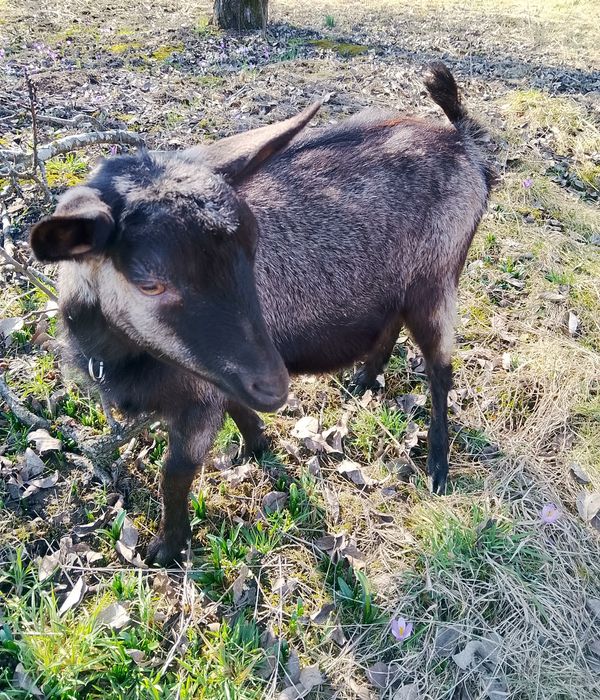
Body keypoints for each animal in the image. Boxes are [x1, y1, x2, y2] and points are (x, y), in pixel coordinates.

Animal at [30, 63, 494, 566]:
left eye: (254, 246)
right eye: (149, 282)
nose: (276, 386)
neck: (120, 352)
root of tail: (464, 143)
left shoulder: (200, 398)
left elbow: (176, 473)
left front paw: (168, 549)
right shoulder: (226, 377)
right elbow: (238, 410)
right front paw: (257, 447)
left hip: (437, 280)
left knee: (440, 371)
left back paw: (437, 466)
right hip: (400, 286)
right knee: (390, 325)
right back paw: (363, 380)